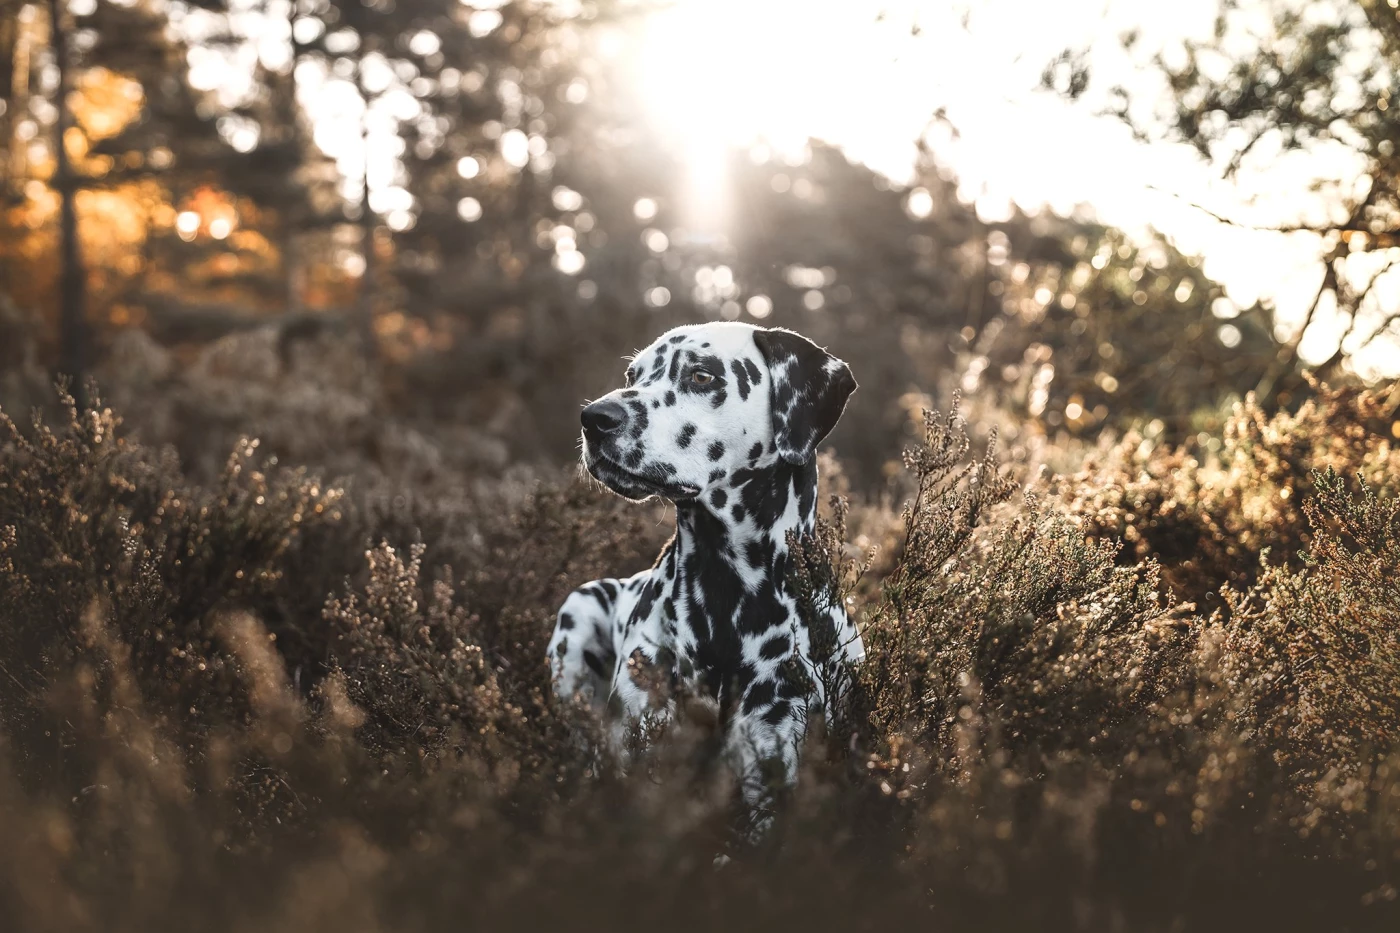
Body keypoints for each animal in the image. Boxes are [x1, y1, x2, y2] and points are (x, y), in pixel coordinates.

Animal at [546, 319, 862, 834]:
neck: (724, 590)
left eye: (700, 376)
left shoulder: (771, 741)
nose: (594, 418)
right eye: (633, 374)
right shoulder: (644, 731)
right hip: (578, 615)